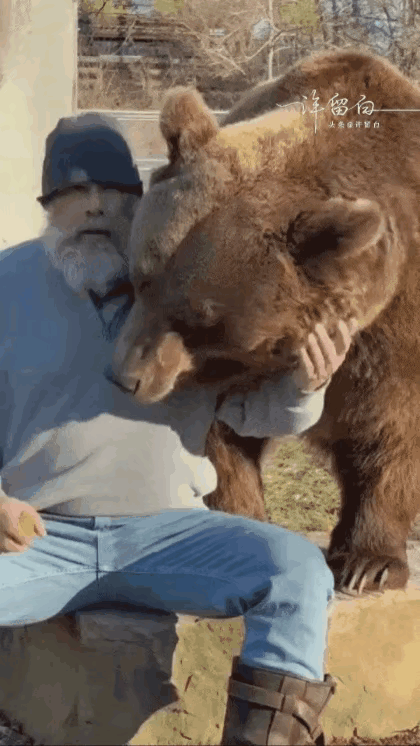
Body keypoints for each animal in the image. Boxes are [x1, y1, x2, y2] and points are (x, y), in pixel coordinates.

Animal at [113, 49, 420, 595]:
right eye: (139, 277)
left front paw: (369, 562)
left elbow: (393, 426)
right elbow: (220, 439)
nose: (128, 378)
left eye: (200, 318)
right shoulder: (221, 371)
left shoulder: (396, 321)